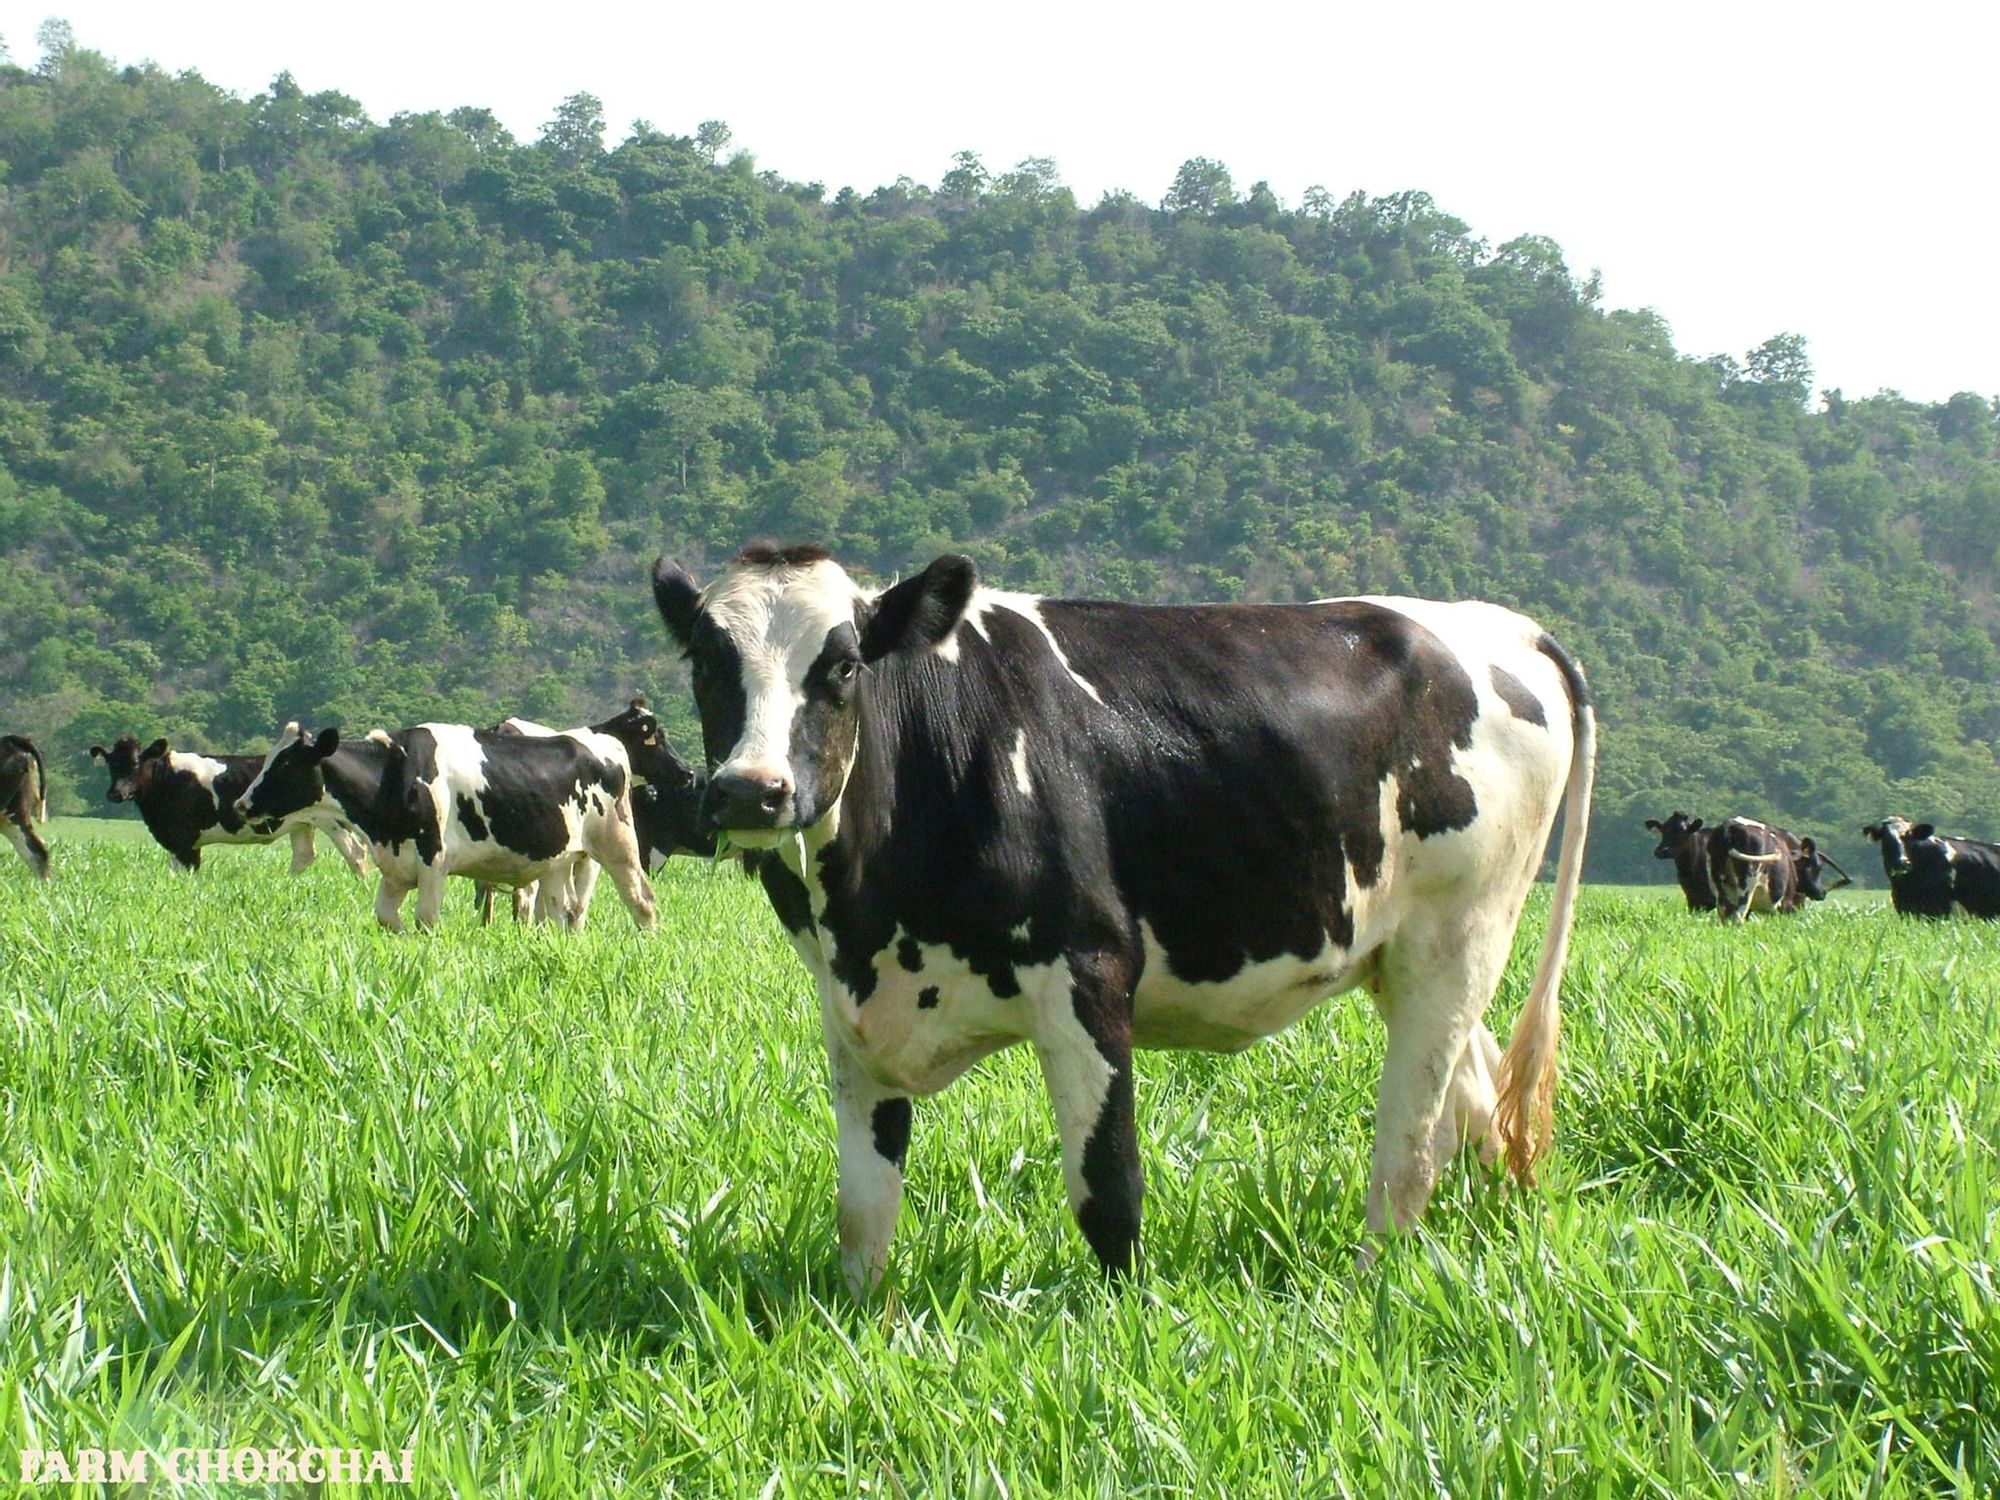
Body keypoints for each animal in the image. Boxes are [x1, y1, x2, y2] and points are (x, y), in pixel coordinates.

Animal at [87, 736, 372, 876]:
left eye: (136, 763)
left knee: (355, 853)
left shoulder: (184, 841)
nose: (115, 793)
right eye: (111, 764)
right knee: (304, 856)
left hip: (332, 820)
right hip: (302, 823)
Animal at [232, 724, 656, 936]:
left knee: (642, 901)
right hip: (559, 859)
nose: (241, 804)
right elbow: (386, 917)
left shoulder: (433, 860)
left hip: (617, 846)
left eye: (286, 765)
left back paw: (646, 942)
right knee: (563, 910)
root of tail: (605, 741)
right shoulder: (397, 866)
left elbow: (426, 919)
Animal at [656, 544, 1592, 1296]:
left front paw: (1123, 1328)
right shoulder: (849, 1011)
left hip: (1461, 937)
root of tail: (1499, 625)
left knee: (1407, 1153)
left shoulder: (1090, 973)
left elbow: (1109, 1190)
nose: (751, 790)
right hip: (1399, 956)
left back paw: (1374, 1286)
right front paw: (861, 1324)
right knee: (1475, 1105)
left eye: (845, 665)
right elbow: (862, 1212)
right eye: (704, 663)